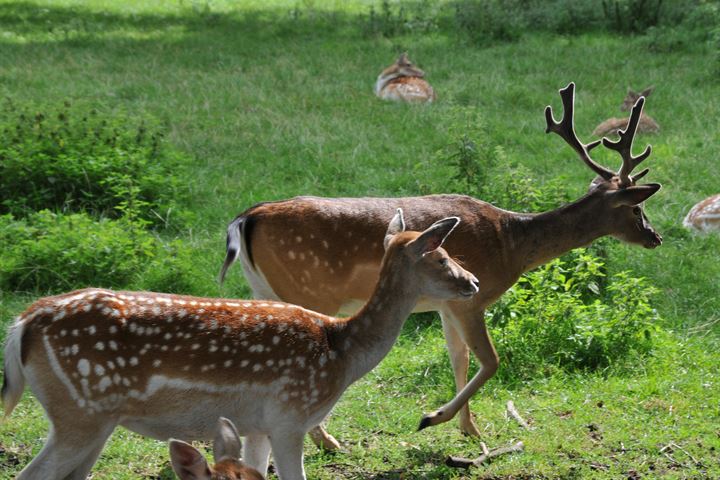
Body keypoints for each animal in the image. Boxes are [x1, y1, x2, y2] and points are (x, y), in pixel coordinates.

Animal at [1, 212, 478, 480]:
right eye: (441, 257)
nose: (472, 282)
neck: (340, 352)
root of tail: (22, 324)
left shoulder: (257, 425)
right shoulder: (290, 414)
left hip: (93, 420)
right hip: (79, 412)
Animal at [221, 82, 664, 450]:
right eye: (637, 207)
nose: (655, 237)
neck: (512, 244)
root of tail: (246, 218)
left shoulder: (447, 305)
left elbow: (459, 360)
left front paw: (470, 430)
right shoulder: (472, 297)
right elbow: (490, 360)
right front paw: (434, 418)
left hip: (264, 290)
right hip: (308, 287)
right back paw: (326, 440)